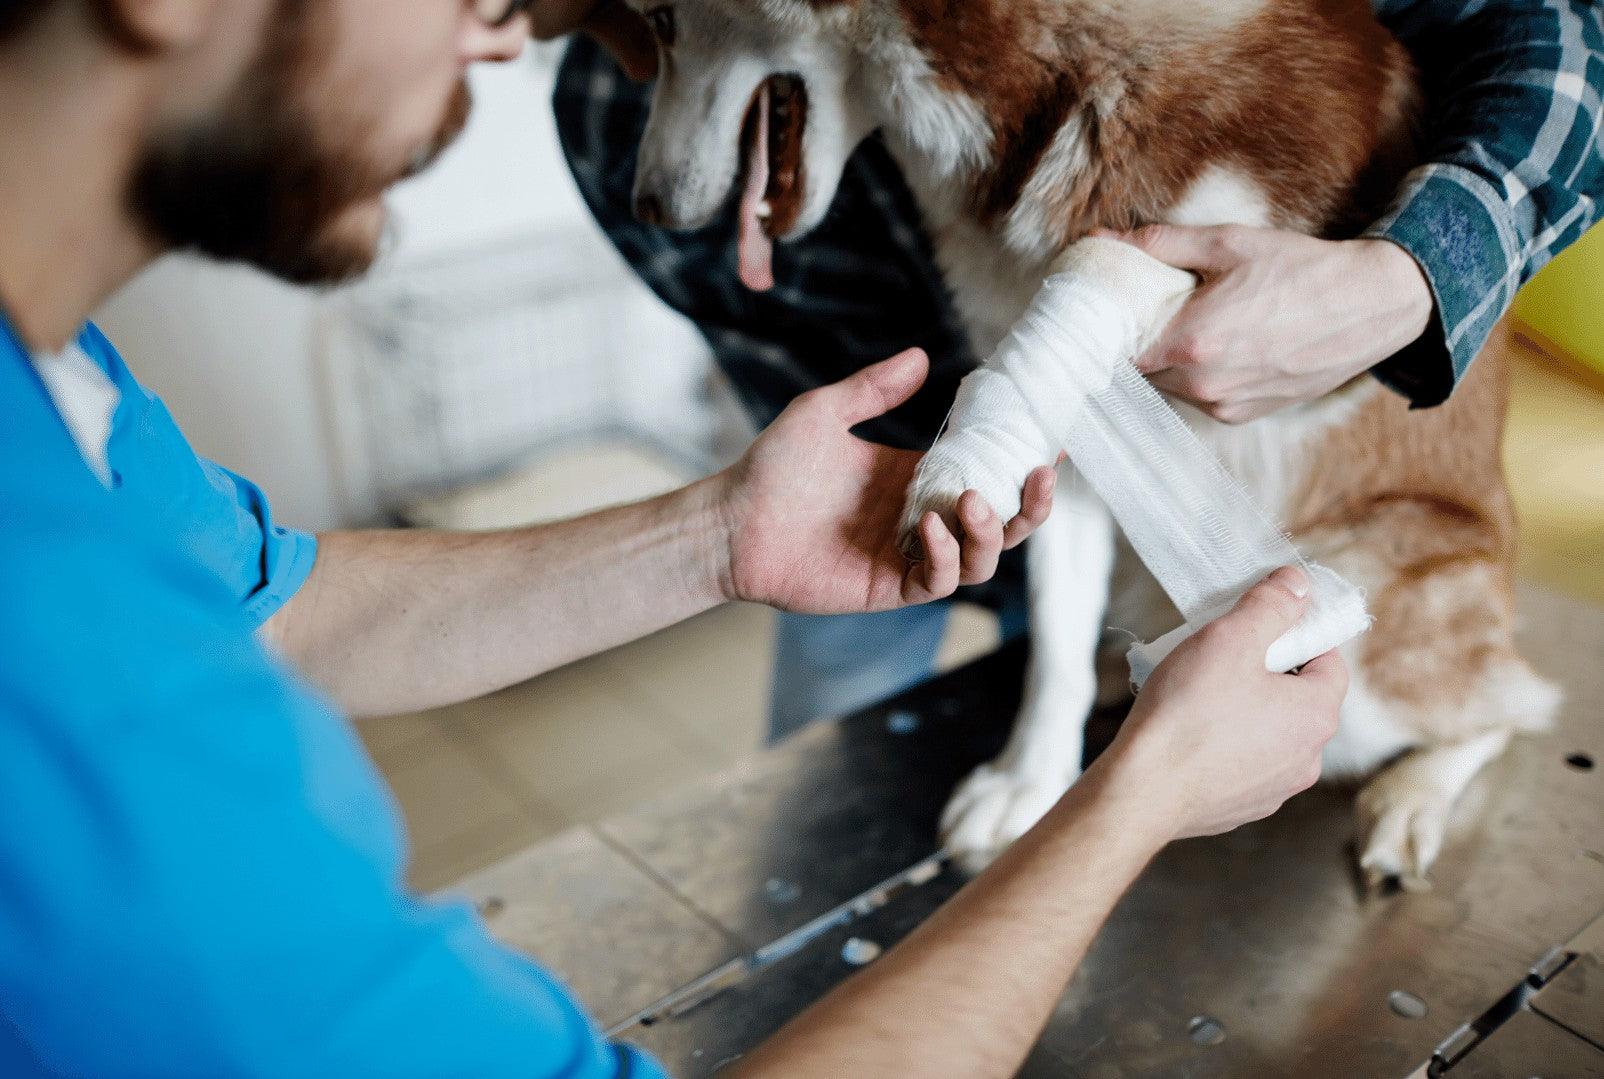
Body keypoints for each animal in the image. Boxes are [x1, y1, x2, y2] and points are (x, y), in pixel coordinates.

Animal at [619, 0, 1559, 885]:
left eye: (662, 22)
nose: (649, 208)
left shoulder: (1228, 256)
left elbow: (1097, 263)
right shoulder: (1062, 437)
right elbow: (1055, 635)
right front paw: (1031, 779)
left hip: (1367, 641)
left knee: (1518, 705)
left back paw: (1413, 797)